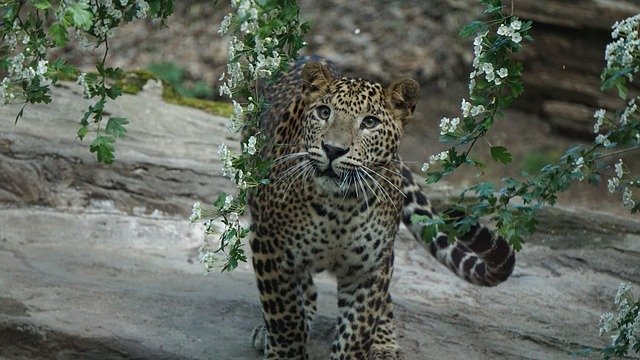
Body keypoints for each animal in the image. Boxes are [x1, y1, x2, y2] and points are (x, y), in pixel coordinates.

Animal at [245, 57, 516, 360]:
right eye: (324, 112)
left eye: (370, 122)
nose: (332, 149)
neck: (340, 206)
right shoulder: (269, 247)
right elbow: (285, 317)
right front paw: (285, 348)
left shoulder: (370, 267)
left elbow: (357, 330)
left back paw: (385, 344)